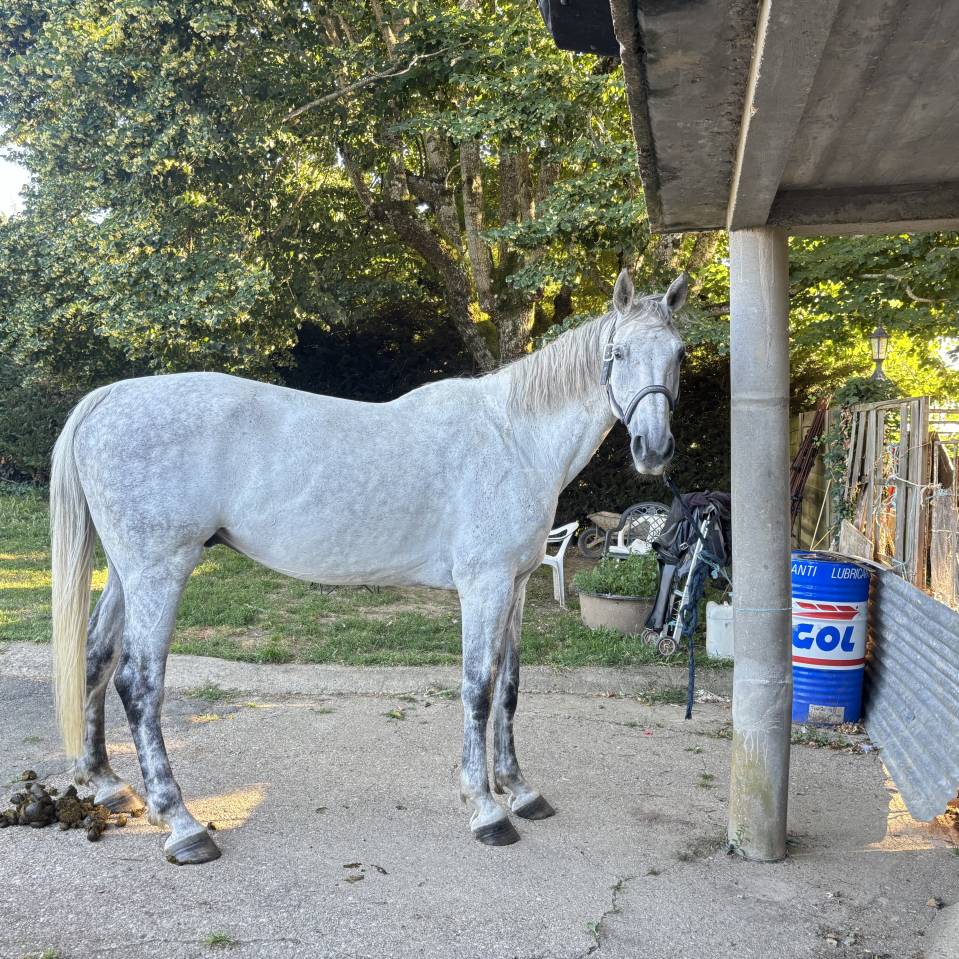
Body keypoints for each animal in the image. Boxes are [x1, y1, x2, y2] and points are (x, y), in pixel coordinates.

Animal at [49, 267, 687, 864]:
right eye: (619, 354)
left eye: (678, 353)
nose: (654, 450)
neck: (513, 437)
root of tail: (108, 398)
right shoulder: (483, 586)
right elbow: (478, 688)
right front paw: (486, 808)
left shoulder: (518, 585)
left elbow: (508, 687)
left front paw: (521, 791)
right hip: (160, 572)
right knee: (138, 682)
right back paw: (181, 824)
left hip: (127, 573)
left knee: (97, 657)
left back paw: (106, 784)